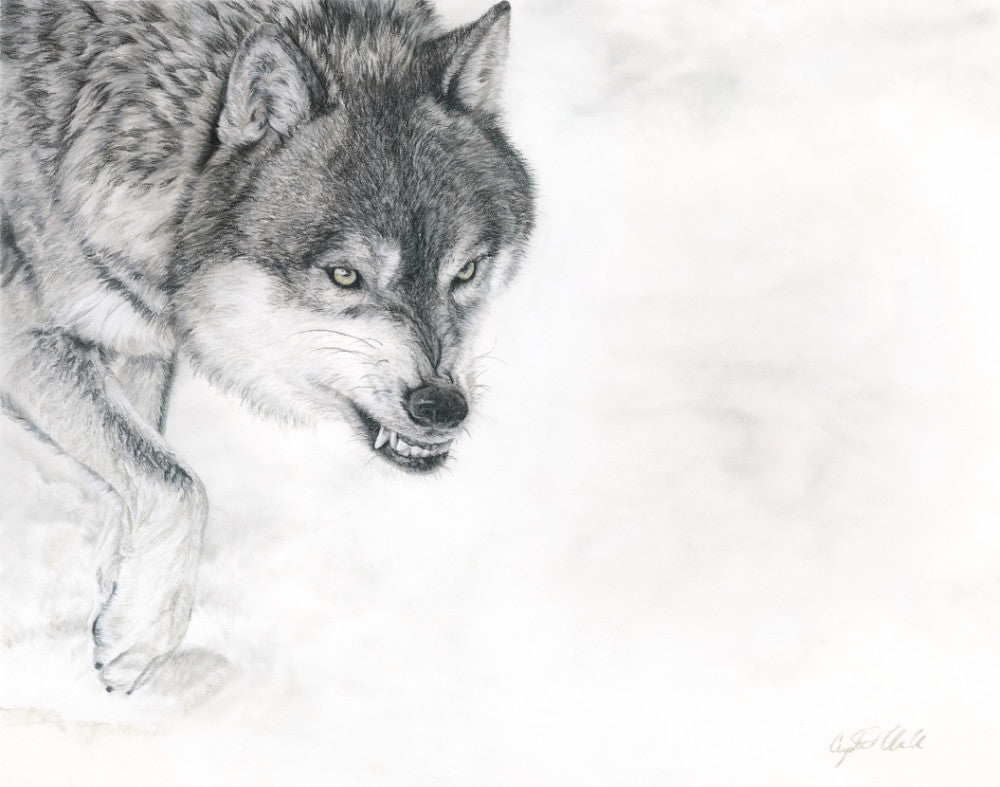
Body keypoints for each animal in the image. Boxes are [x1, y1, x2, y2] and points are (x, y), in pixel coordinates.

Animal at [0, 0, 534, 693]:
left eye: (466, 270)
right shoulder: (24, 341)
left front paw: (118, 592)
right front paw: (139, 640)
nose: (442, 407)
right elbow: (179, 482)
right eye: (345, 276)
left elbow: (141, 467)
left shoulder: (139, 345)